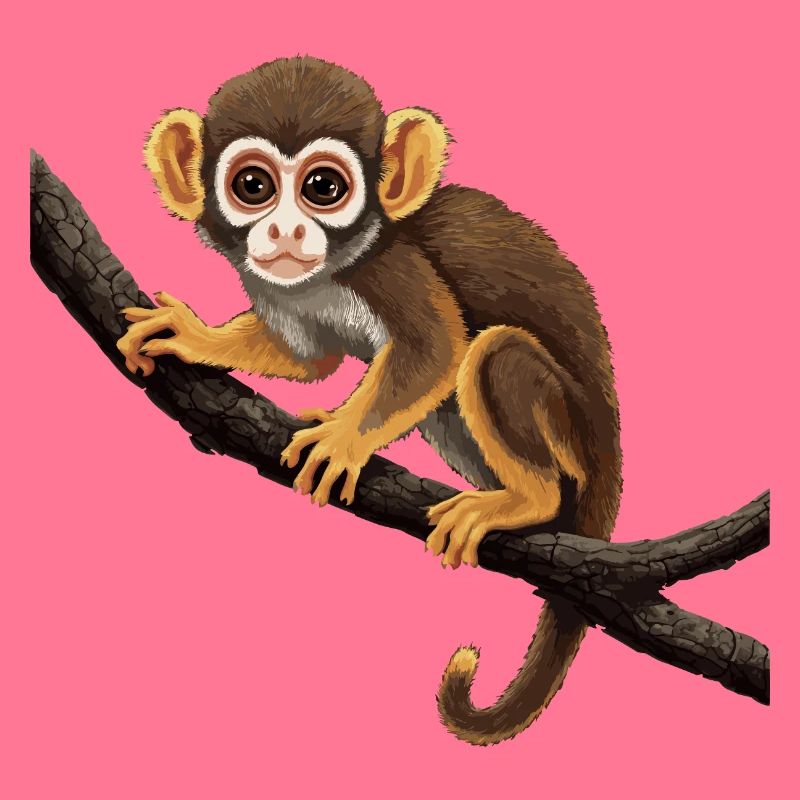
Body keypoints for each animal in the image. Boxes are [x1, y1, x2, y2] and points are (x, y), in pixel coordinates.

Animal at [118, 56, 622, 745]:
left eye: (323, 188)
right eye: (253, 185)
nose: (284, 228)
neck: (336, 266)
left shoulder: (395, 266)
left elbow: (437, 347)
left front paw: (342, 438)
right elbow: (308, 358)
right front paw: (195, 338)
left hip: (572, 434)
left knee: (495, 353)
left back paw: (529, 500)